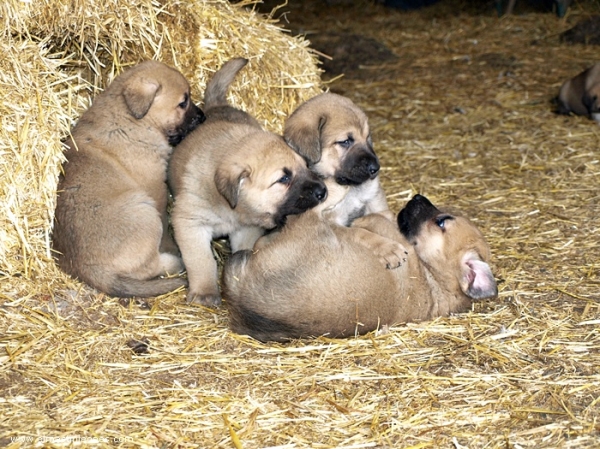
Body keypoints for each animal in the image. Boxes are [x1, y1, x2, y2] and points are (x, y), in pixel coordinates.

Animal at [54, 59, 204, 298]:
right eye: (183, 102)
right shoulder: (156, 190)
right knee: (149, 267)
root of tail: (87, 268)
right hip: (143, 210)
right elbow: (165, 223)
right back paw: (175, 262)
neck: (132, 120)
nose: (203, 116)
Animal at [168, 57, 328, 306]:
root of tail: (216, 106)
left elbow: (243, 249)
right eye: (284, 178)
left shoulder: (246, 229)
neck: (229, 208)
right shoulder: (190, 224)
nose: (323, 191)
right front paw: (205, 292)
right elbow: (202, 261)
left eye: (304, 165)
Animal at [223, 193, 500, 344]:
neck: (433, 278)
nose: (416, 197)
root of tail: (243, 297)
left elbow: (367, 224)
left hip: (312, 226)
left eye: (441, 222)